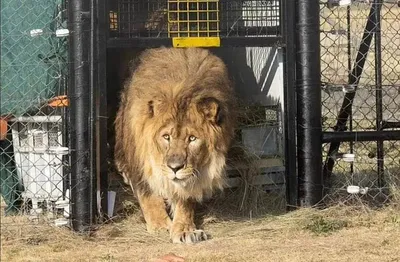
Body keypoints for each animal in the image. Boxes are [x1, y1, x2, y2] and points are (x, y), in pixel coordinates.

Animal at [114, 46, 236, 244]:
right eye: (166, 137)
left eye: (192, 138)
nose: (175, 167)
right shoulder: (138, 162)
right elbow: (149, 195)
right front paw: (160, 225)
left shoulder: (191, 174)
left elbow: (184, 199)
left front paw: (185, 230)